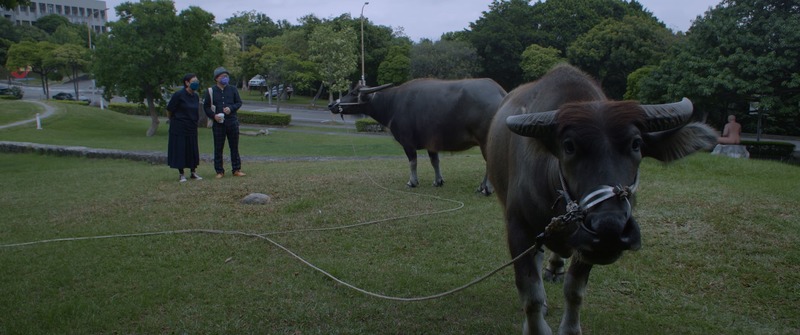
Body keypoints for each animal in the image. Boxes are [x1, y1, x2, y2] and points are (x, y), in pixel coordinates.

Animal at [326, 78, 504, 194]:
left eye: (353, 93)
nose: (332, 105)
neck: (392, 103)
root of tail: (501, 94)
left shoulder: (408, 143)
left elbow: (412, 162)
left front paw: (412, 182)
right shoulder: (432, 143)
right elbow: (435, 162)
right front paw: (438, 181)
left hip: (485, 141)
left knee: (489, 162)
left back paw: (487, 189)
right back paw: (482, 186)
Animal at [488, 64, 720, 334]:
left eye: (636, 144)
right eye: (569, 146)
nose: (611, 228)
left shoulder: (588, 244)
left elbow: (574, 290)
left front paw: (570, 328)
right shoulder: (518, 227)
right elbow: (530, 294)